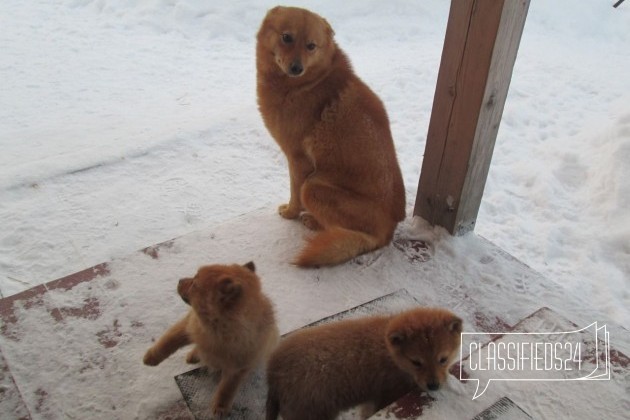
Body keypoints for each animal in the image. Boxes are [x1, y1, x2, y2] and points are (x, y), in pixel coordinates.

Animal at [147, 262, 280, 416]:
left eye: (194, 284)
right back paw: (194, 354)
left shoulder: (238, 367)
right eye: (194, 277)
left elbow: (226, 389)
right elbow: (169, 340)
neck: (217, 330)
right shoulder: (190, 326)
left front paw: (220, 407)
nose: (179, 280)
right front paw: (151, 357)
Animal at [260, 6, 408, 268]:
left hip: (313, 187)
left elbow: (294, 194)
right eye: (286, 37)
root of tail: (387, 233)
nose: (296, 68)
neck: (310, 81)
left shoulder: (297, 160)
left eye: (311, 46)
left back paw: (312, 221)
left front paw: (290, 213)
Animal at [264, 306, 462, 420]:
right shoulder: (385, 394)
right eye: (416, 362)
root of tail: (274, 374)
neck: (389, 353)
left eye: (443, 359)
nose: (434, 386)